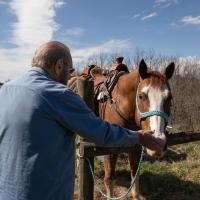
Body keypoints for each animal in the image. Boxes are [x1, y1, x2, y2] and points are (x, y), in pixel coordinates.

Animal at [68, 59, 174, 198]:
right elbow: (109, 179)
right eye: (141, 96)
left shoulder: (136, 147)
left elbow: (135, 178)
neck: (121, 103)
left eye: (169, 98)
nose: (158, 142)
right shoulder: (109, 149)